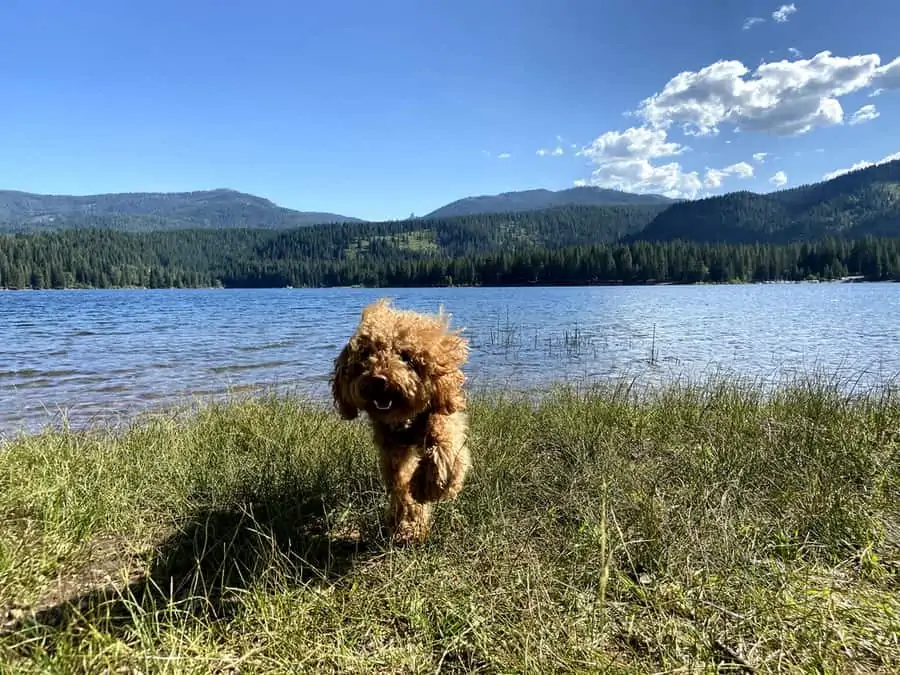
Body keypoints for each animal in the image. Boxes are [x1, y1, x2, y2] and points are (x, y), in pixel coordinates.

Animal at [330, 298, 472, 548]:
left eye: (405, 356)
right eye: (366, 354)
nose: (378, 380)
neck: (405, 421)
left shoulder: (443, 417)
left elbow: (445, 451)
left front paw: (428, 486)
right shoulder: (393, 449)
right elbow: (401, 485)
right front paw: (408, 526)